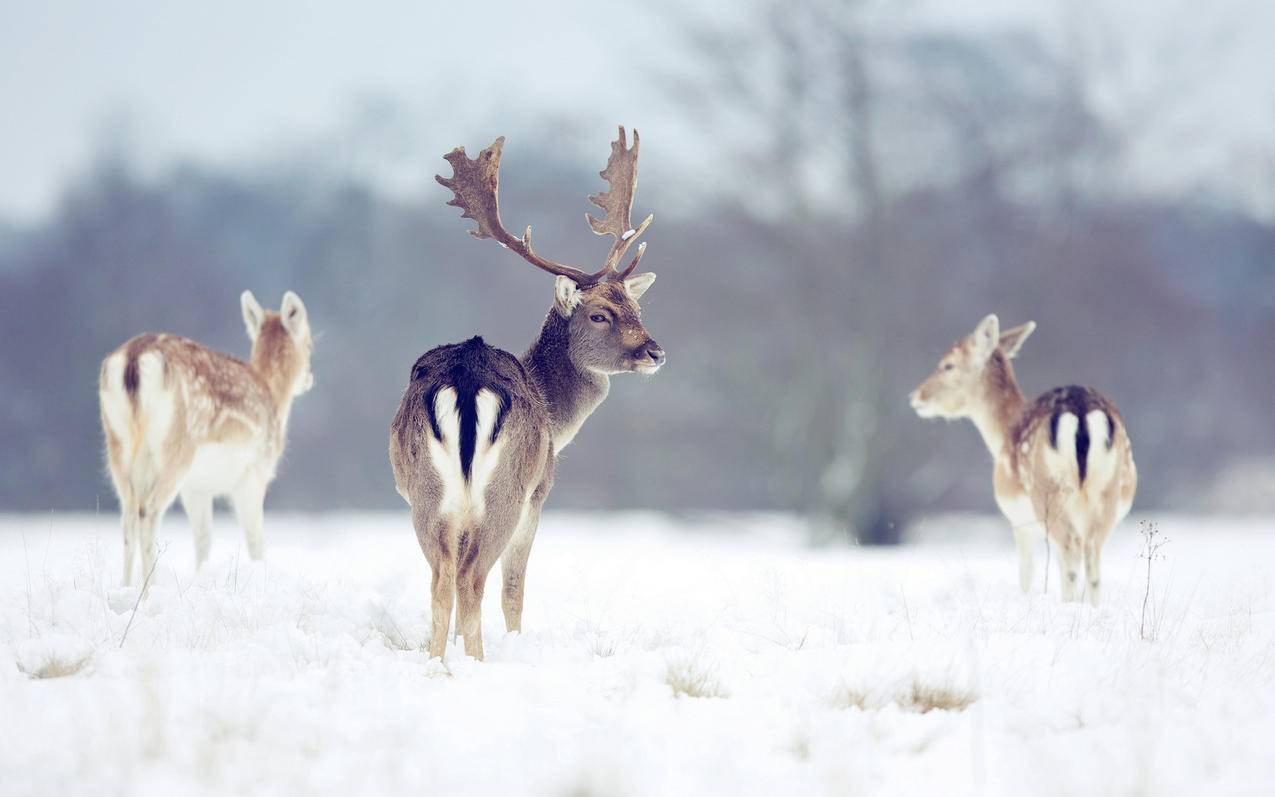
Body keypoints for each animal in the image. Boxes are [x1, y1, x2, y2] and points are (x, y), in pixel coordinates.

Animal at [98, 289, 313, 586]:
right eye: (310, 344)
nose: (310, 378)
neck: (274, 400)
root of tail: (133, 360)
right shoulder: (254, 472)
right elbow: (255, 540)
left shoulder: (197, 487)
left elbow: (203, 539)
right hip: (176, 448)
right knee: (148, 512)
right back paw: (149, 589)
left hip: (118, 444)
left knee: (128, 515)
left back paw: (125, 588)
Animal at [387, 125, 668, 658]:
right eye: (599, 314)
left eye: (635, 307)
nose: (655, 351)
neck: (556, 417)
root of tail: (466, 378)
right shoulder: (539, 495)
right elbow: (514, 589)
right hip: (506, 491)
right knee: (473, 578)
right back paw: (478, 661)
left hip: (425, 493)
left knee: (442, 579)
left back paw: (438, 663)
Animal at [912, 313, 1142, 599]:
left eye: (948, 365)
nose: (917, 395)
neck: (1002, 433)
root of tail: (1080, 412)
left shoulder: (1019, 518)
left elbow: (1026, 573)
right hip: (1108, 489)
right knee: (1091, 555)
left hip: (1049, 493)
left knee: (1071, 549)